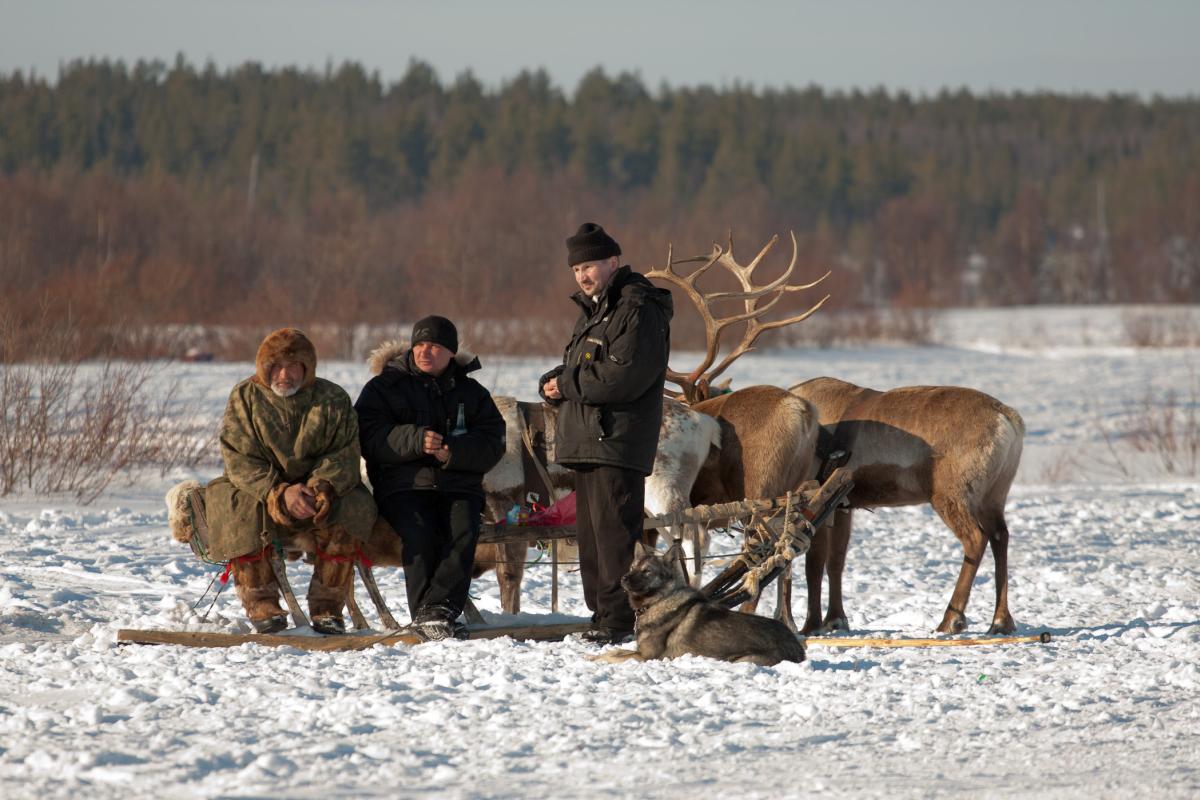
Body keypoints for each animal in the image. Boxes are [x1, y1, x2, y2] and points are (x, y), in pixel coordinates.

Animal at [590, 546, 806, 666]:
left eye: (647, 571)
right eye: (633, 567)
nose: (624, 578)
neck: (659, 601)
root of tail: (798, 648)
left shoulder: (647, 657)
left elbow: (614, 656)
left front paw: (596, 660)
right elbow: (613, 652)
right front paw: (589, 657)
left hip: (741, 660)